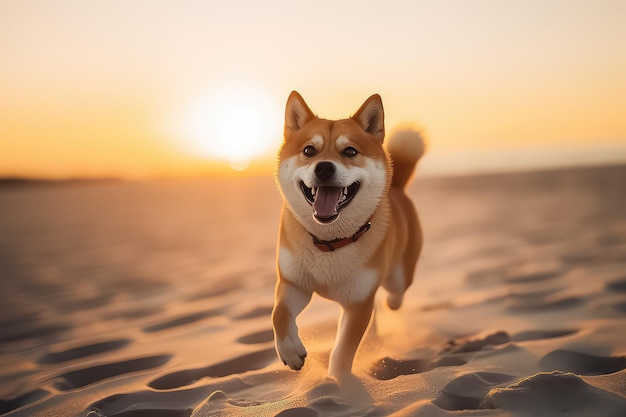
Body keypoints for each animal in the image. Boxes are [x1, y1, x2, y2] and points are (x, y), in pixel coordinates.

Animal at [270, 91, 422, 376]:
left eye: (350, 151)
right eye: (309, 150)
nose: (324, 168)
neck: (330, 242)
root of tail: (397, 189)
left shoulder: (358, 303)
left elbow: (343, 352)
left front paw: (338, 380)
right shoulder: (293, 283)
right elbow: (279, 315)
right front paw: (291, 351)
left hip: (397, 279)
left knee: (394, 297)